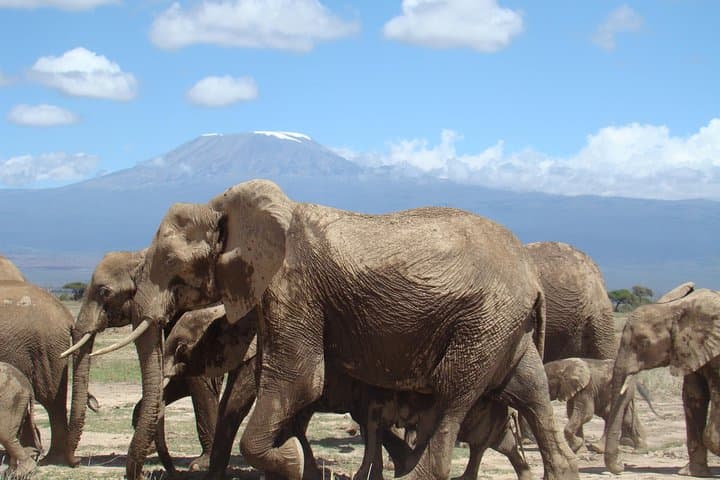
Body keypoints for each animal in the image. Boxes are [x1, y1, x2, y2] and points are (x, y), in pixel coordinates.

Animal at [61, 250, 223, 473]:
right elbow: (178, 380)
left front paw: (201, 464)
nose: (76, 462)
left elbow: (199, 379)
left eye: (104, 292)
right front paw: (150, 448)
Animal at [97, 179, 578, 480]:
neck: (225, 205)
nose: (145, 473)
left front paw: (290, 462)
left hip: (484, 322)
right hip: (508, 328)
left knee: (452, 394)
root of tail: (532, 278)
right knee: (530, 392)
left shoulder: (292, 285)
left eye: (171, 263)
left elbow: (299, 380)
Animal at [603, 283, 720, 476]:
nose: (622, 466)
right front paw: (693, 473)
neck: (676, 309)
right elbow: (693, 398)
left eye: (643, 343)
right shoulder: (689, 350)